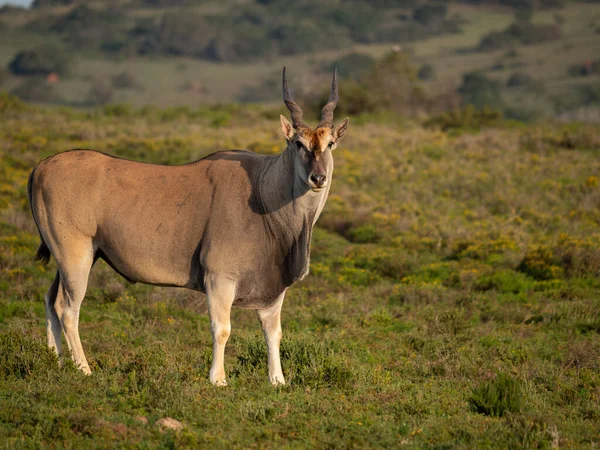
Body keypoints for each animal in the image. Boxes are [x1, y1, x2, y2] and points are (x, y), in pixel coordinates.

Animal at [27, 68, 346, 384]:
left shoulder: (274, 291)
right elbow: (222, 328)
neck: (262, 190)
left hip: (77, 258)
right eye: (298, 144)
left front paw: (277, 380)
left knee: (51, 301)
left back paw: (57, 363)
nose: (318, 178)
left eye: (329, 143)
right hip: (75, 257)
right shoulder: (219, 279)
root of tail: (41, 166)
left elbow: (273, 332)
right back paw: (83, 368)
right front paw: (218, 379)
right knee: (68, 309)